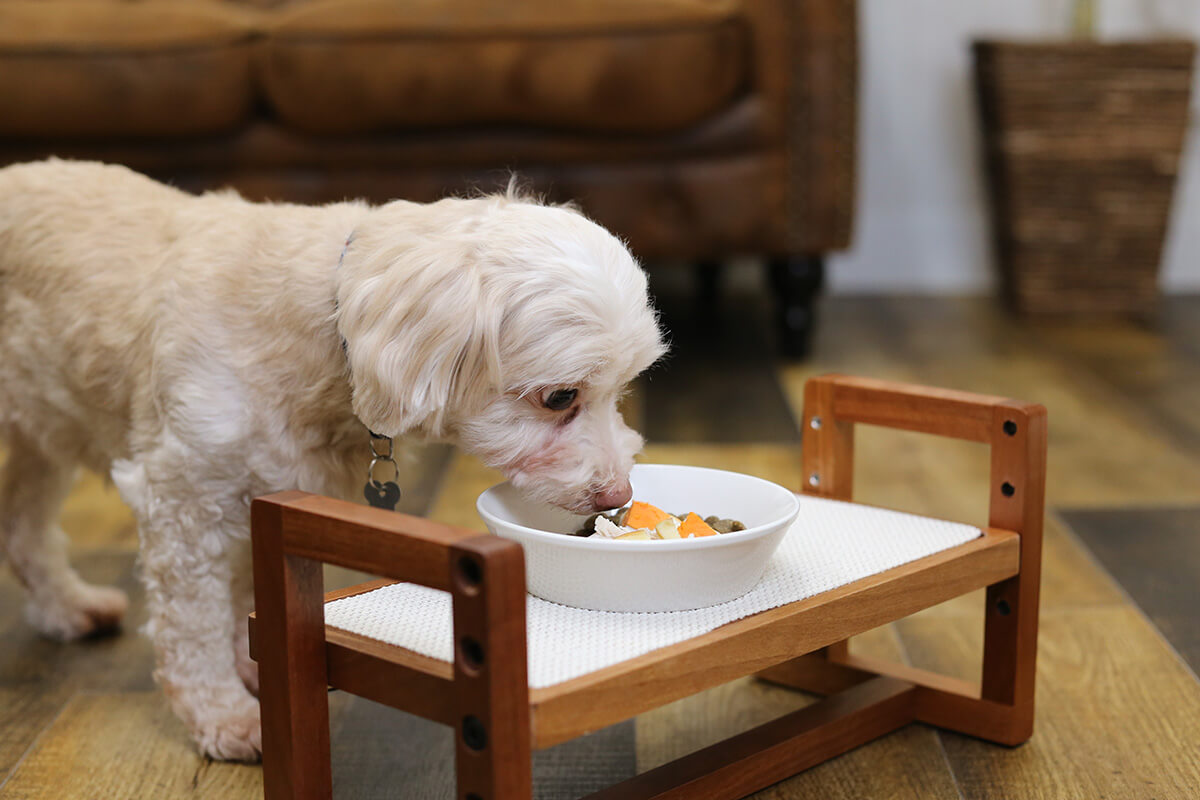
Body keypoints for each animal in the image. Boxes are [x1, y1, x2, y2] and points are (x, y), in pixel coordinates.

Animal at [0, 159, 667, 762]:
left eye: (621, 390)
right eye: (560, 397)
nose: (617, 495)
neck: (325, 319)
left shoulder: (266, 488)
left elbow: (243, 592)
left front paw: (256, 662)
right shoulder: (183, 496)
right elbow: (193, 623)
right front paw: (224, 714)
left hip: (37, 431)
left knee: (22, 526)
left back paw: (68, 606)